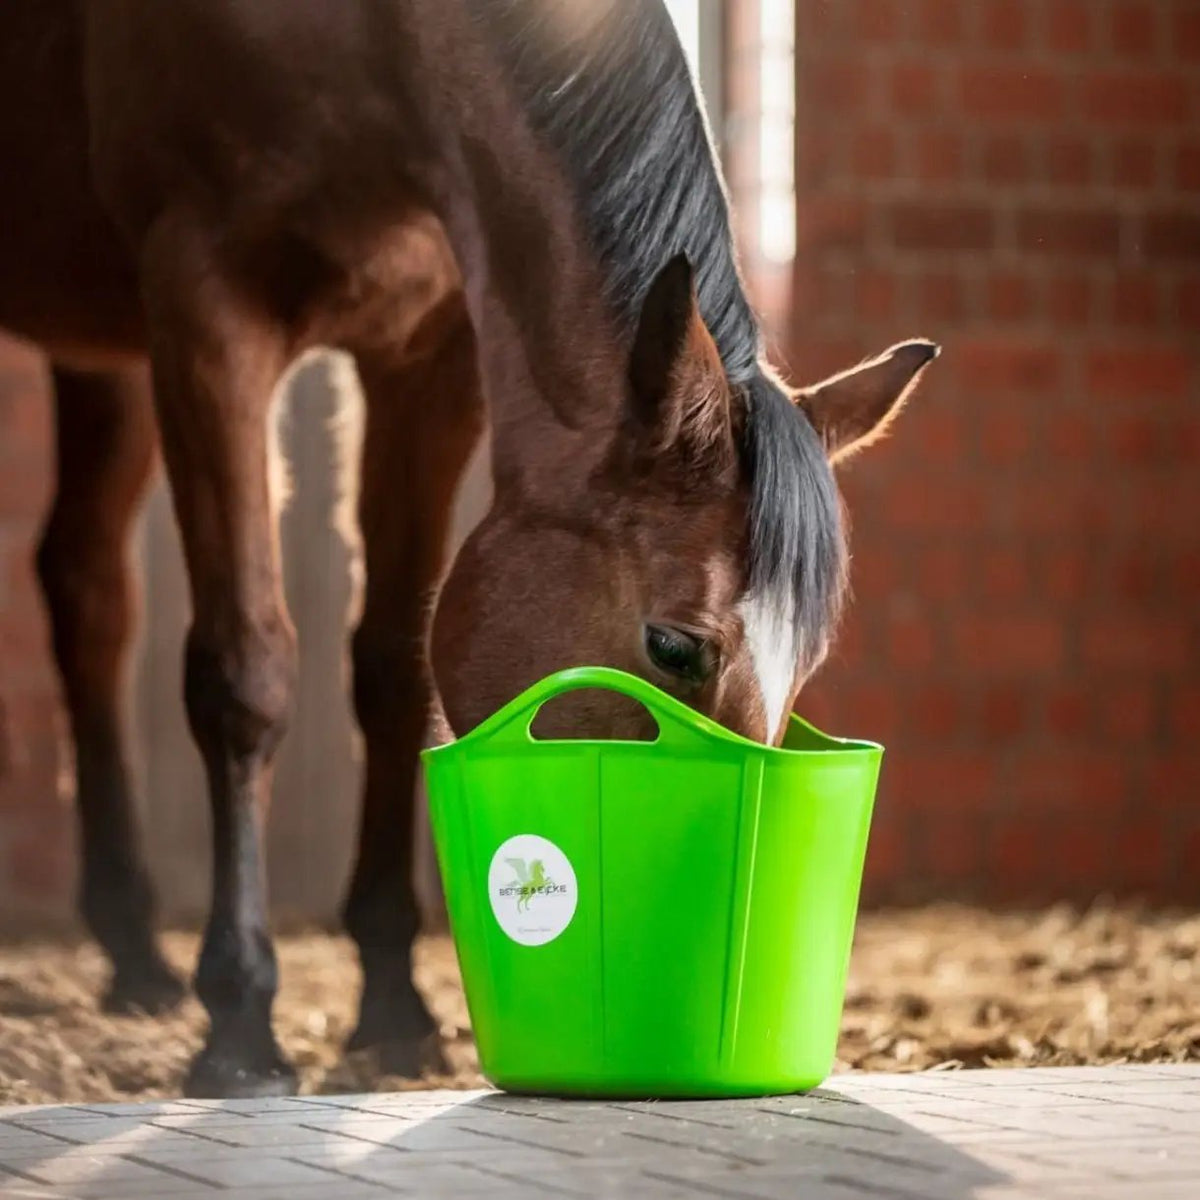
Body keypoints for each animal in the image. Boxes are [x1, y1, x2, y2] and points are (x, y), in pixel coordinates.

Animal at [0, 0, 937, 1097]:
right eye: (672, 646)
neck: (370, 46)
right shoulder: (206, 305)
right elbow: (245, 672)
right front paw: (240, 1022)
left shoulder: (431, 356)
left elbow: (390, 669)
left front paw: (393, 1006)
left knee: (87, 586)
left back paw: (136, 955)